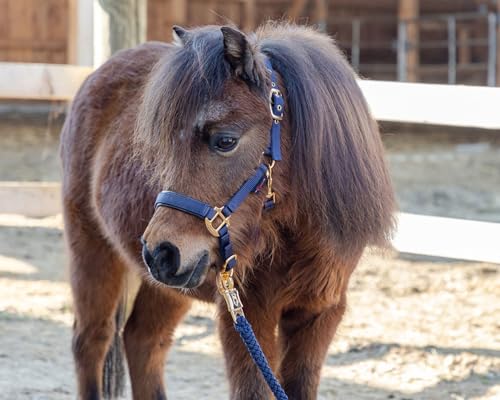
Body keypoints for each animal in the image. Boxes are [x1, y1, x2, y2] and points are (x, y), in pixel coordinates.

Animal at [60, 22, 394, 400]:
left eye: (225, 141)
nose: (159, 252)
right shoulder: (244, 314)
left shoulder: (319, 314)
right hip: (92, 250)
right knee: (92, 340)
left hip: (167, 286)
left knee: (143, 340)